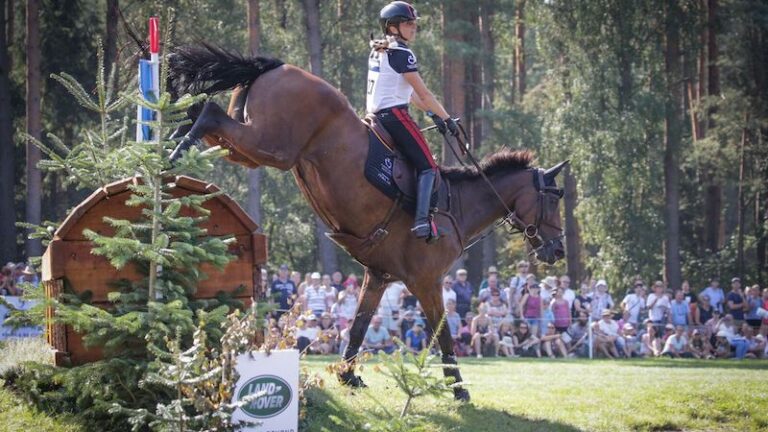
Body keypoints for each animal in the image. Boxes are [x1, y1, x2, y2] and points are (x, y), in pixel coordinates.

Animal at [166, 44, 564, 402]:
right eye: (554, 199)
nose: (557, 250)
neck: (458, 208)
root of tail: (278, 65)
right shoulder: (427, 282)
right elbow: (443, 334)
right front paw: (459, 389)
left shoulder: (378, 276)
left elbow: (358, 325)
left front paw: (348, 376)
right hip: (271, 146)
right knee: (210, 111)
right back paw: (173, 154)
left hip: (249, 149)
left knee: (203, 112)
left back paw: (170, 149)